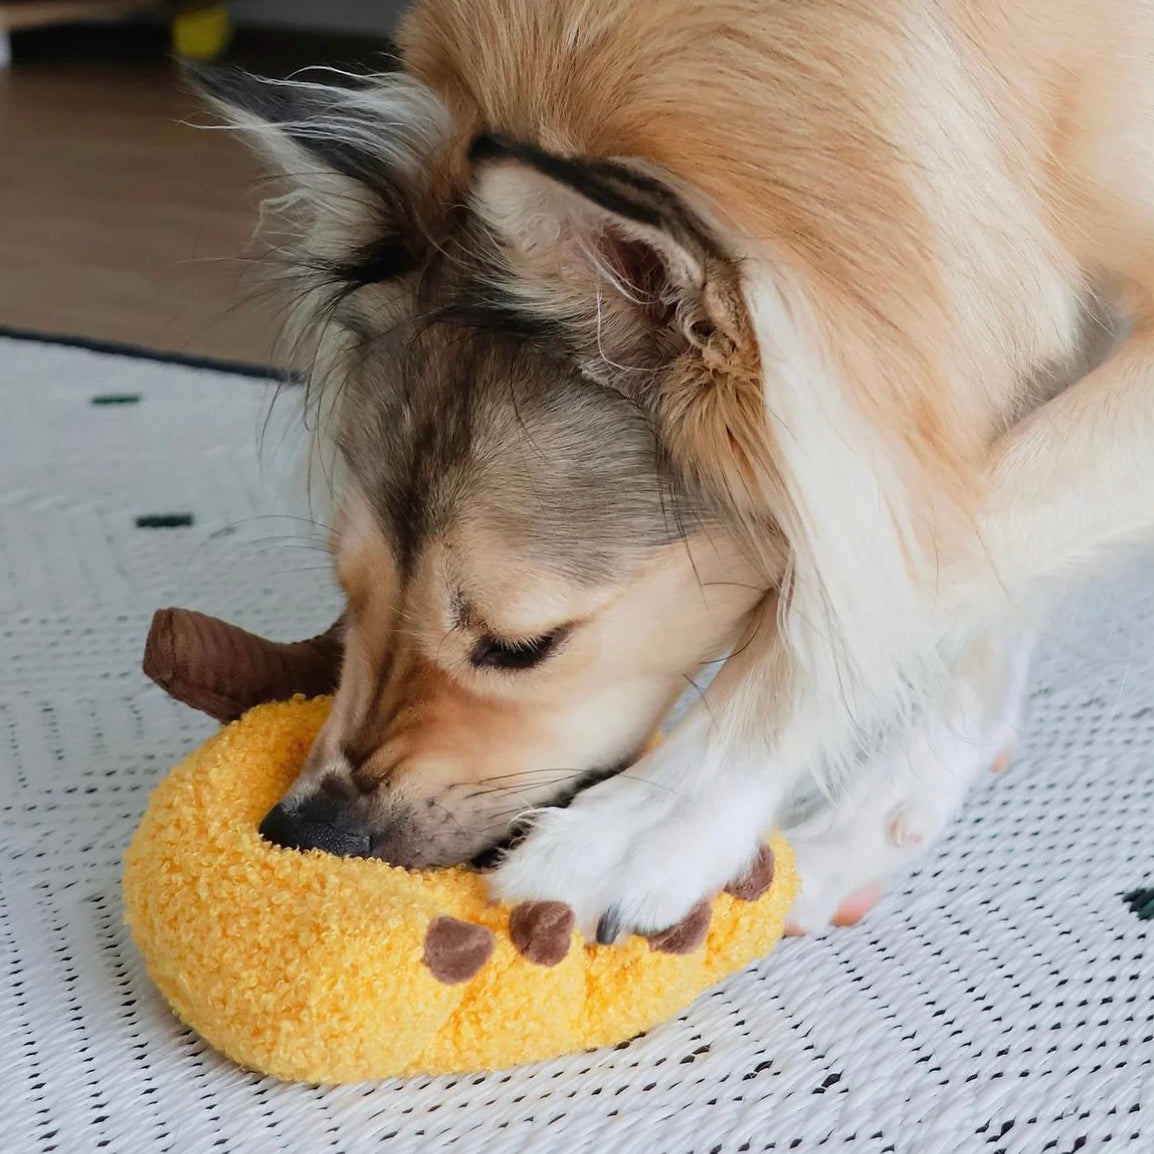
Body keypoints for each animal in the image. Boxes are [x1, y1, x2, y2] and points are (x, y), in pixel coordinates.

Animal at [203, 0, 1154, 937]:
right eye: (349, 588)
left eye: (521, 647)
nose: (307, 833)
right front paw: (894, 808)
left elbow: (871, 593)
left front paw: (647, 828)